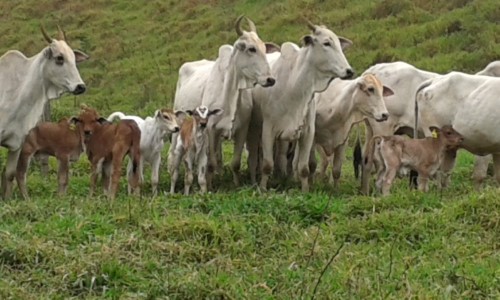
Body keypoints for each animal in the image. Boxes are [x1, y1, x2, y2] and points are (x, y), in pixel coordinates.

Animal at [0, 27, 88, 198]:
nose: (80, 87)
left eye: (74, 59)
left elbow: (9, 174)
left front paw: (7, 200)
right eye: (59, 58)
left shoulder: (17, 143)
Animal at [169, 15, 278, 189]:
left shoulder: (242, 130)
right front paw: (209, 185)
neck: (230, 94)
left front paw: (236, 184)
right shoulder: (210, 130)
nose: (270, 79)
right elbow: (211, 163)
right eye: (251, 49)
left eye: (263, 47)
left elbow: (235, 162)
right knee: (174, 155)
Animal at [249, 20, 352, 192]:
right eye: (326, 43)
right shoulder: (268, 130)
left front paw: (305, 190)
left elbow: (304, 167)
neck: (293, 87)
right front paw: (262, 189)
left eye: (339, 43)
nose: (349, 71)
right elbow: (267, 164)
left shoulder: (307, 132)